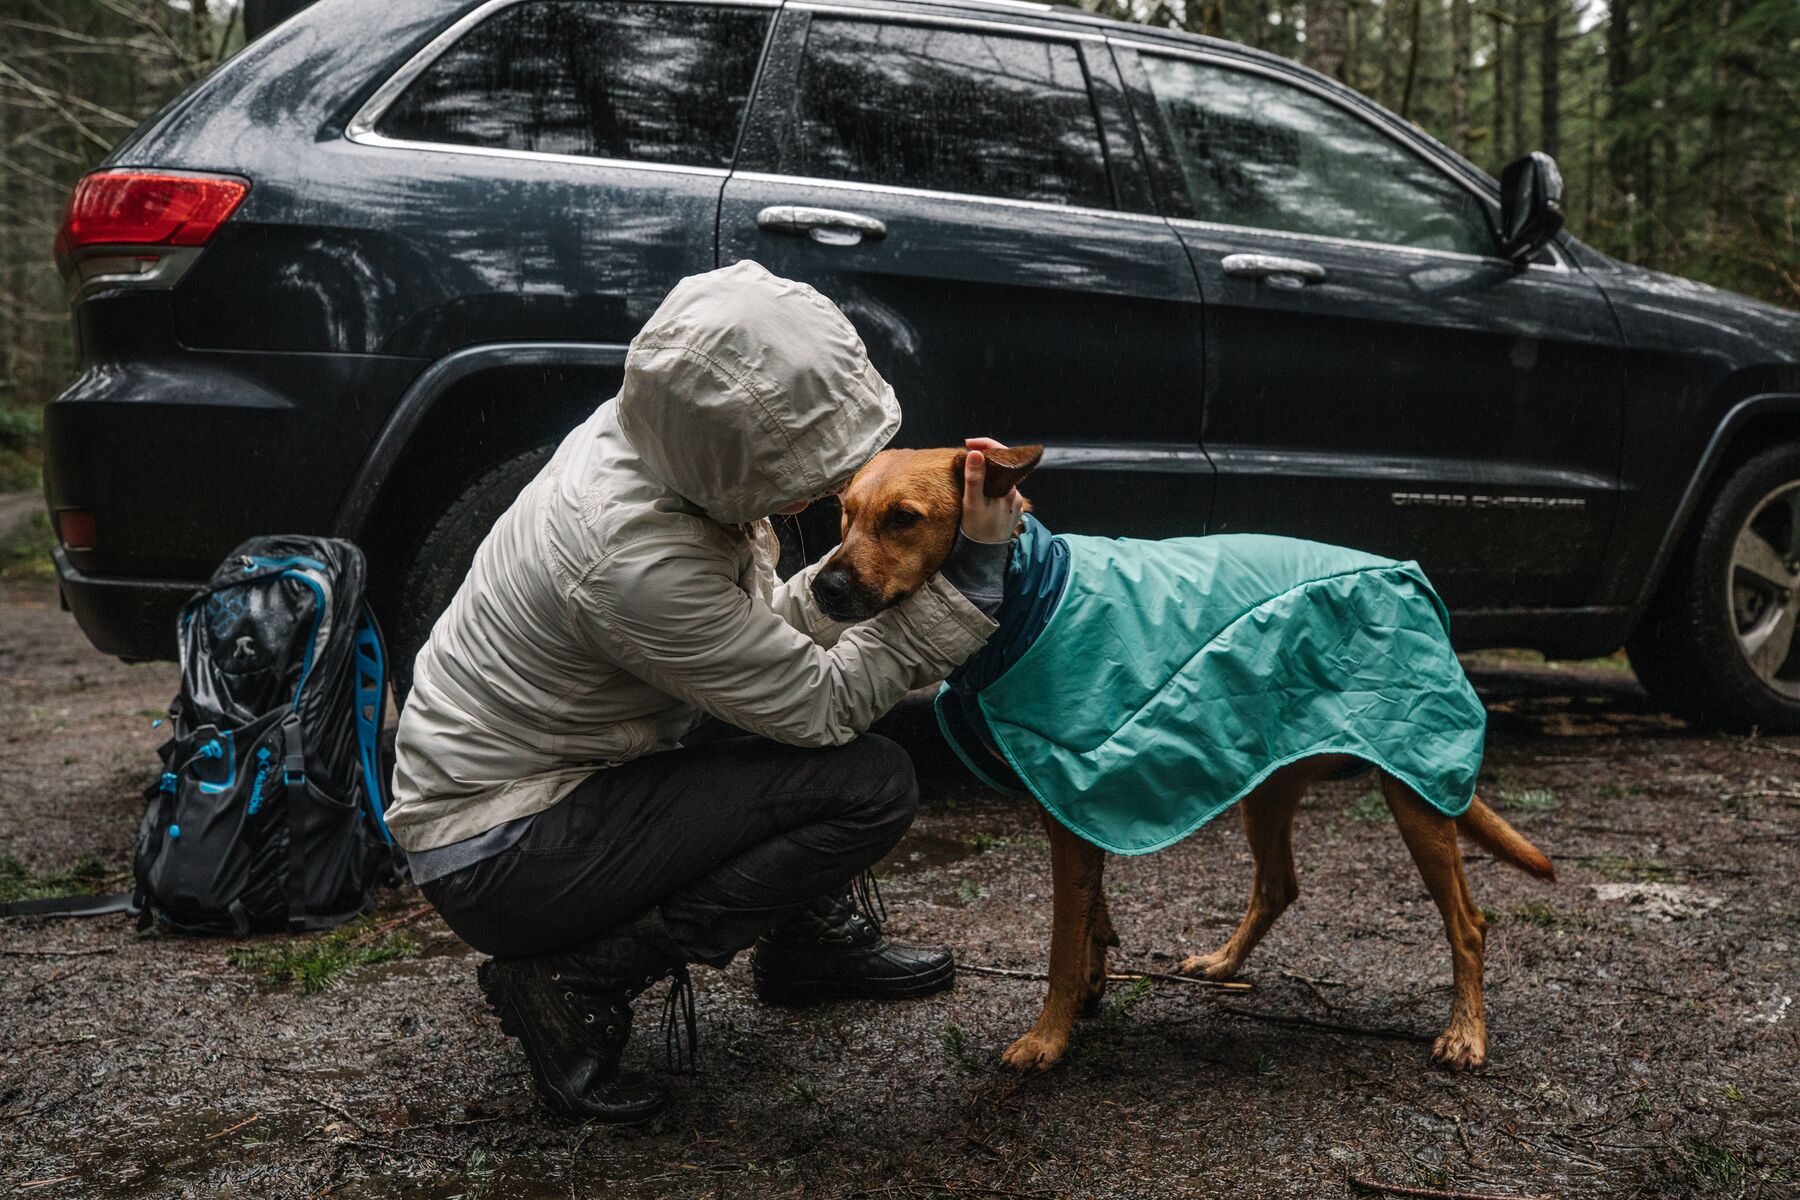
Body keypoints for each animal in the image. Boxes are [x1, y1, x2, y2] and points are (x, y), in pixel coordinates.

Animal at [810, 446, 1555, 1072]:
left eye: (903, 519)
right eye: (844, 514)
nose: (823, 587)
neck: (1029, 589)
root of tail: (1407, 573)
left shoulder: (1072, 809)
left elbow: (1061, 942)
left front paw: (1048, 1037)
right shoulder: (1070, 802)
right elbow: (1091, 917)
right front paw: (1092, 982)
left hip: (1415, 787)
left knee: (1469, 924)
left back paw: (1466, 1033)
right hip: (1268, 784)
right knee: (1279, 886)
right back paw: (1226, 963)